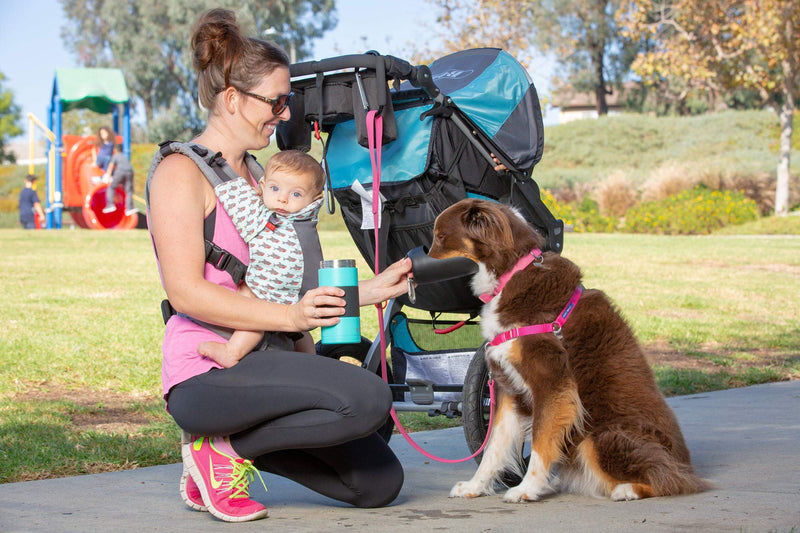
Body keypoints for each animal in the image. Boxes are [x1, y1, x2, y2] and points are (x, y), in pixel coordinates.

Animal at [428, 197, 708, 500]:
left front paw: (527, 489)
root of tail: (687, 465)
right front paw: (475, 486)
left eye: (440, 237)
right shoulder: (507, 388)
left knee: (671, 480)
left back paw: (627, 489)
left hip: (599, 435)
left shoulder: (552, 384)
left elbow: (541, 442)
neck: (511, 272)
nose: (410, 268)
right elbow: (494, 447)